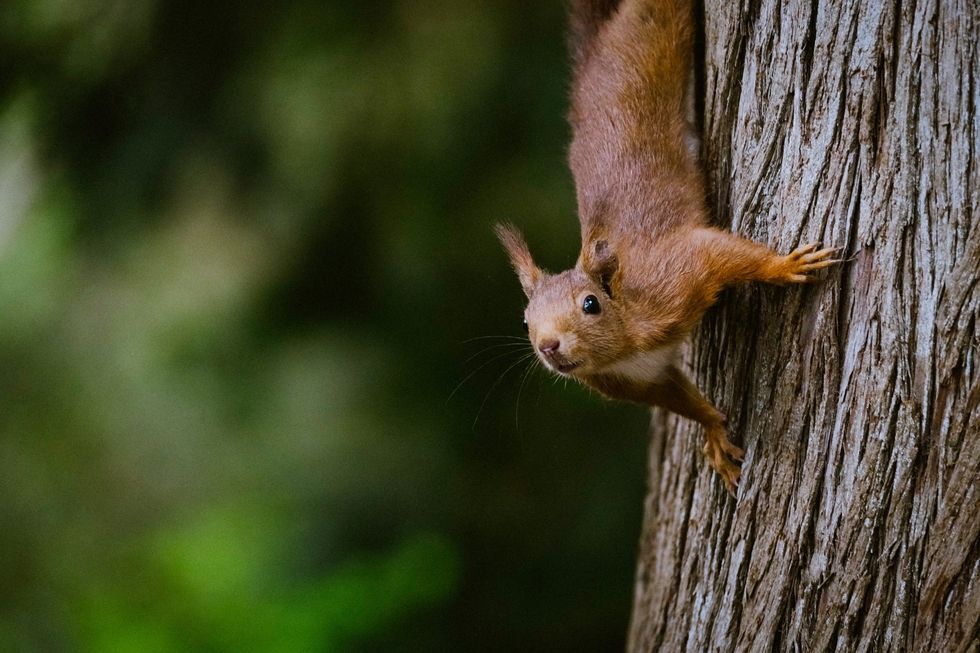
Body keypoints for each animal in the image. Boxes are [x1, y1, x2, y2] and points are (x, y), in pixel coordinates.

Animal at [495, 0, 839, 493]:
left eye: (590, 304)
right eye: (525, 320)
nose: (549, 346)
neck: (625, 346)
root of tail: (595, 55)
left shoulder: (675, 274)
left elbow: (718, 253)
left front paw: (781, 265)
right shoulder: (646, 380)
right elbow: (682, 399)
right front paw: (713, 429)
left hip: (655, 33)